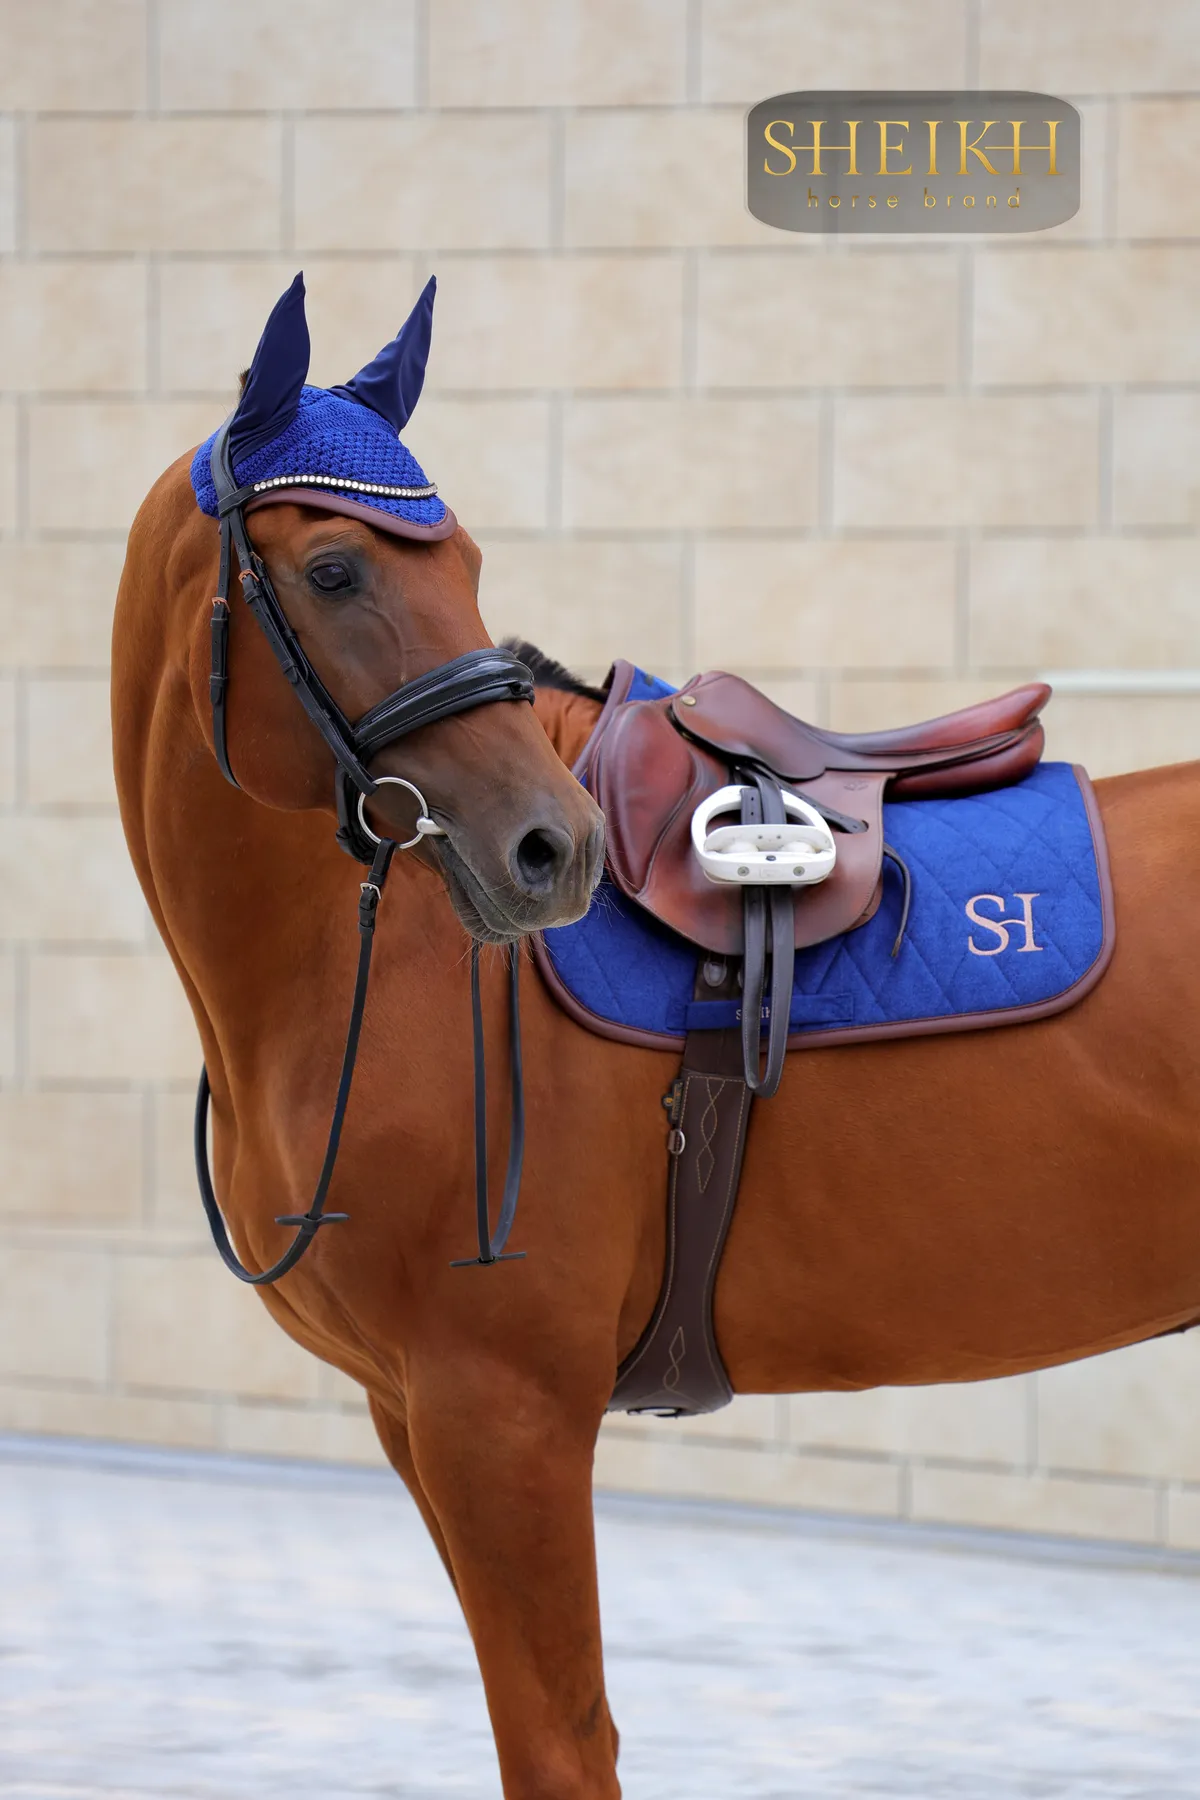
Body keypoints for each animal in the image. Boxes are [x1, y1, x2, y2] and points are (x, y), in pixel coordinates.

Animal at [113, 276, 1200, 1798]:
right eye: (333, 571)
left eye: (466, 563)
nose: (548, 849)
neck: (376, 969)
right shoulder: (417, 1416)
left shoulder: (502, 1413)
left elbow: (561, 1745)